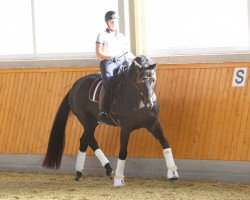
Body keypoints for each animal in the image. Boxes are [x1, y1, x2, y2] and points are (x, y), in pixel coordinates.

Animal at [42, 54, 179, 186]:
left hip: (93, 122)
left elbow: (165, 143)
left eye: (153, 80)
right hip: (87, 121)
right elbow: (123, 152)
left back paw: (82, 172)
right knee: (90, 140)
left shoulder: (153, 124)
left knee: (84, 140)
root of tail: (75, 86)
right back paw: (102, 170)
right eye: (141, 80)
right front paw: (119, 179)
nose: (150, 103)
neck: (138, 99)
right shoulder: (125, 128)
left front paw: (173, 173)